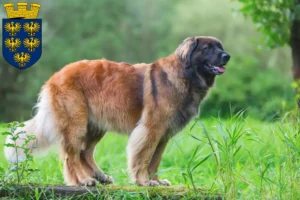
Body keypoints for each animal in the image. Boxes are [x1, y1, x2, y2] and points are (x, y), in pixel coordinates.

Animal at [4, 35, 230, 186]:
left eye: (220, 47)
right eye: (207, 48)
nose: (227, 56)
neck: (186, 75)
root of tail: (55, 75)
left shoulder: (163, 135)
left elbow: (155, 160)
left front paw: (156, 181)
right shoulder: (151, 130)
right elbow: (144, 157)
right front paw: (144, 181)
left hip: (95, 126)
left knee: (85, 152)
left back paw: (100, 176)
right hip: (76, 123)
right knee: (72, 155)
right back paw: (84, 180)